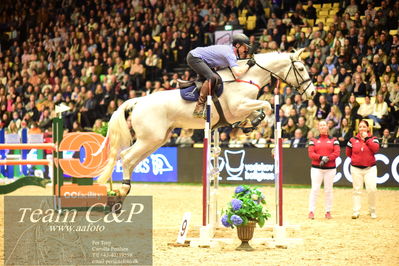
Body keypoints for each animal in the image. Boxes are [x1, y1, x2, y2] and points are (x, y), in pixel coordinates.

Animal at [96, 48, 316, 193]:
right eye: (301, 69)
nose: (312, 93)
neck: (247, 77)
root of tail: (138, 101)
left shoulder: (243, 107)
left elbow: (260, 110)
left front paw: (247, 125)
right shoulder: (238, 106)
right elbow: (267, 106)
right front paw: (250, 124)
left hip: (157, 140)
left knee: (131, 160)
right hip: (150, 139)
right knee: (126, 157)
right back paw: (123, 189)